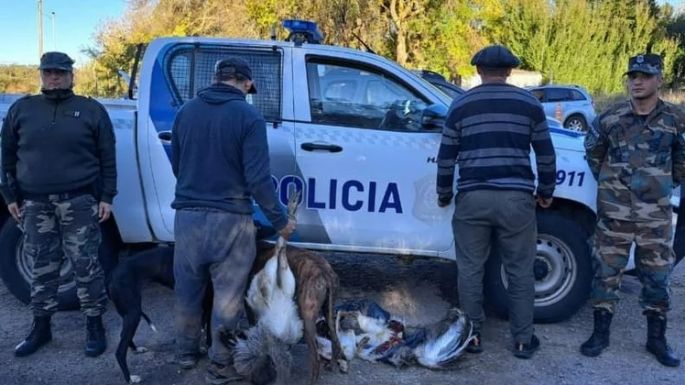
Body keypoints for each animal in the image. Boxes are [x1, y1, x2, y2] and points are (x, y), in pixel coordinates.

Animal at [107, 248, 212, 382]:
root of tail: (111, 275)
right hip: (133, 313)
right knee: (120, 351)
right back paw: (130, 378)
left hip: (127, 313)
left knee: (123, 337)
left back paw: (136, 349)